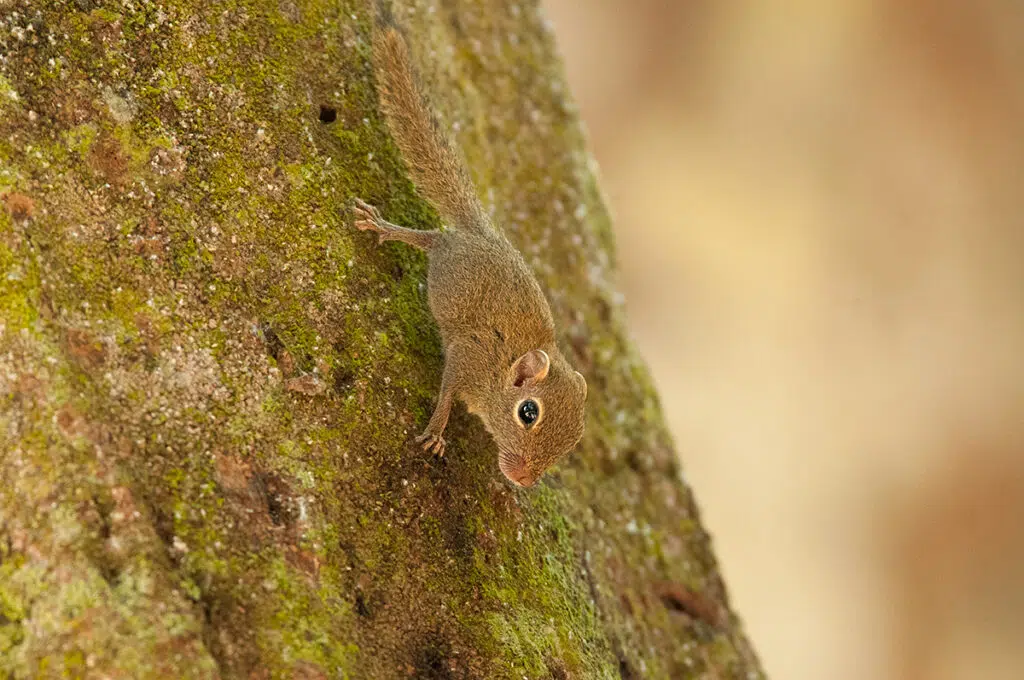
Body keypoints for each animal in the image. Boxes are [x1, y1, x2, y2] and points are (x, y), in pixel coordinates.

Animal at [351, 19, 587, 488]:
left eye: (574, 441)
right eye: (528, 412)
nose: (524, 480)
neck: (501, 372)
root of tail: (481, 231)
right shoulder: (468, 358)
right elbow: (446, 392)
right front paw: (436, 432)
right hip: (448, 264)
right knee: (433, 239)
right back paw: (384, 227)